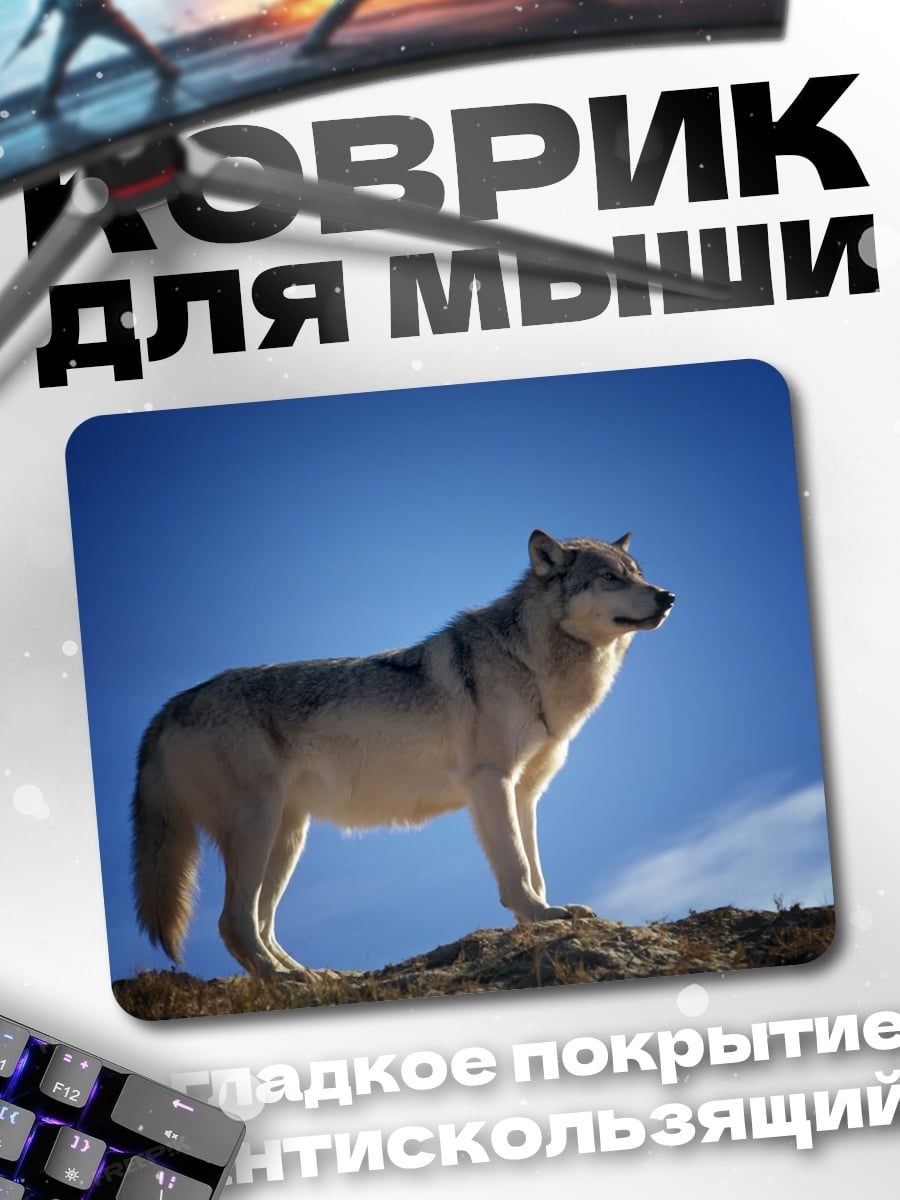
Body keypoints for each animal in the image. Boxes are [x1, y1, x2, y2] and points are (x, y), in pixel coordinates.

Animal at [131, 529, 674, 978]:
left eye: (637, 573)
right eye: (609, 578)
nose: (668, 596)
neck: (530, 663)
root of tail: (169, 707)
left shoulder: (525, 793)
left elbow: (536, 868)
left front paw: (542, 917)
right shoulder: (489, 781)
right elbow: (517, 867)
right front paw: (539, 916)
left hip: (287, 839)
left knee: (261, 923)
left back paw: (311, 976)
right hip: (257, 828)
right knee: (233, 922)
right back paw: (282, 980)